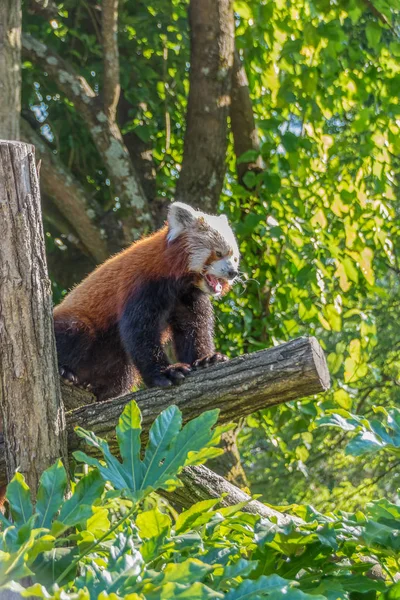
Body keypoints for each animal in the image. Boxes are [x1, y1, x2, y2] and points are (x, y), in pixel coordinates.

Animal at [54, 200, 239, 398]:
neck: (179, 282)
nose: (233, 272)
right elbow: (140, 331)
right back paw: (65, 371)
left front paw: (206, 359)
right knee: (76, 331)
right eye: (218, 253)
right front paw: (166, 372)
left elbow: (193, 328)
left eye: (235, 258)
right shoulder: (142, 284)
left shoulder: (188, 296)